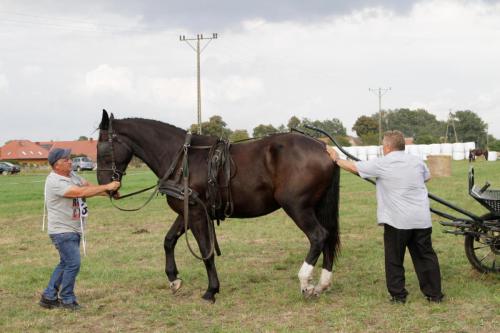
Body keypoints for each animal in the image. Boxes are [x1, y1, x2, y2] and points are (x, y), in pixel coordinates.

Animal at [96, 110, 342, 302]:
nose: (105, 186)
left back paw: (305, 283)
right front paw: (174, 279)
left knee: (318, 236)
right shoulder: (187, 212)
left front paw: (211, 290)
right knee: (328, 236)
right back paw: (323, 283)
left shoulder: (197, 214)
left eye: (102, 148)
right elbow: (168, 240)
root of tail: (324, 149)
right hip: (316, 206)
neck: (182, 160)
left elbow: (206, 252)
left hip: (297, 206)